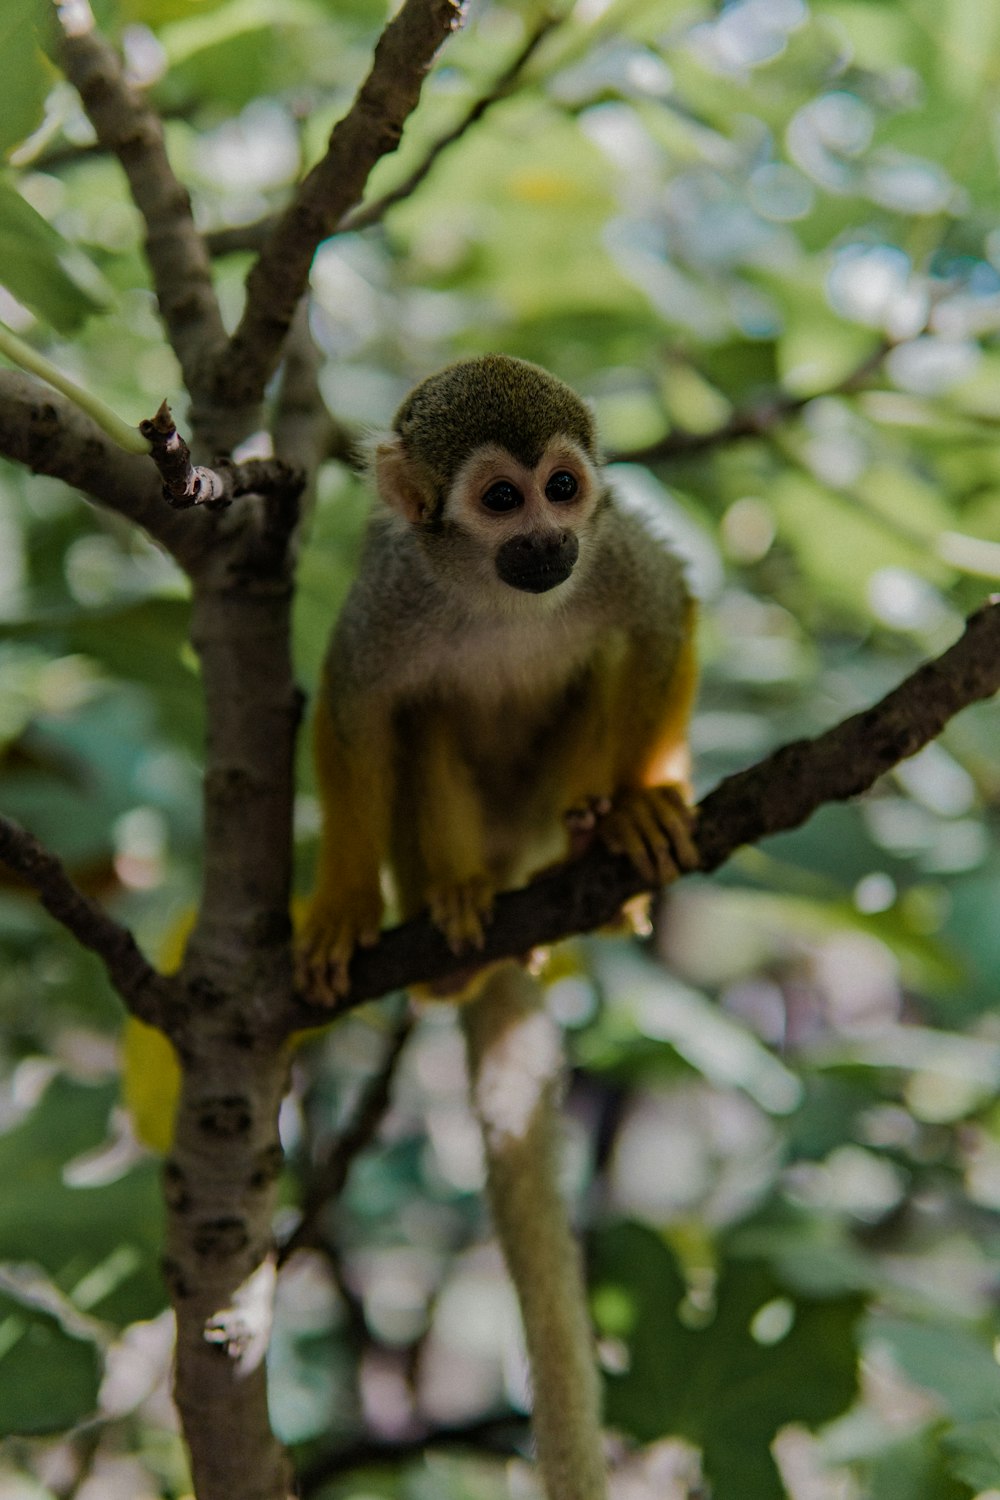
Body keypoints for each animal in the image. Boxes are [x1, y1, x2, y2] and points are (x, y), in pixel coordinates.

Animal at [301, 355, 701, 1002]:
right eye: (502, 497)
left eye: (561, 487)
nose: (547, 540)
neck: (496, 597)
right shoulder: (394, 592)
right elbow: (353, 702)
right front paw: (345, 904)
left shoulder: (607, 551)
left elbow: (665, 611)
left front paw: (640, 802)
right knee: (425, 712)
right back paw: (459, 897)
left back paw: (587, 853)